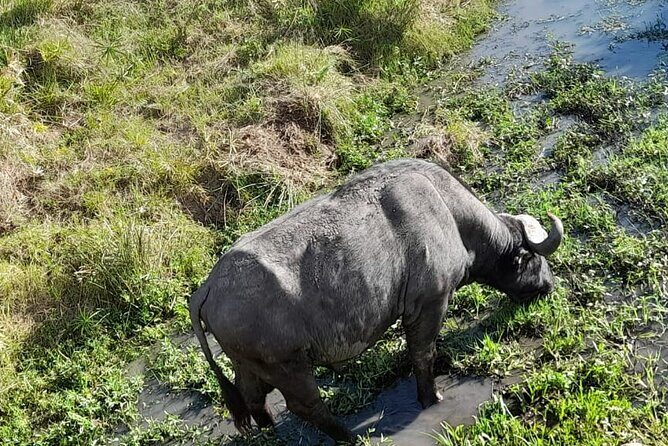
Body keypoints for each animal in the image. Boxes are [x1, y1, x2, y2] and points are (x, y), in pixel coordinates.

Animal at [189, 159, 563, 443]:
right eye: (532, 258)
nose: (549, 284)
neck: (447, 212)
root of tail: (207, 288)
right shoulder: (428, 304)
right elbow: (423, 354)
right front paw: (431, 397)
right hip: (289, 367)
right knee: (306, 406)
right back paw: (348, 437)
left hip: (250, 366)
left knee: (253, 399)